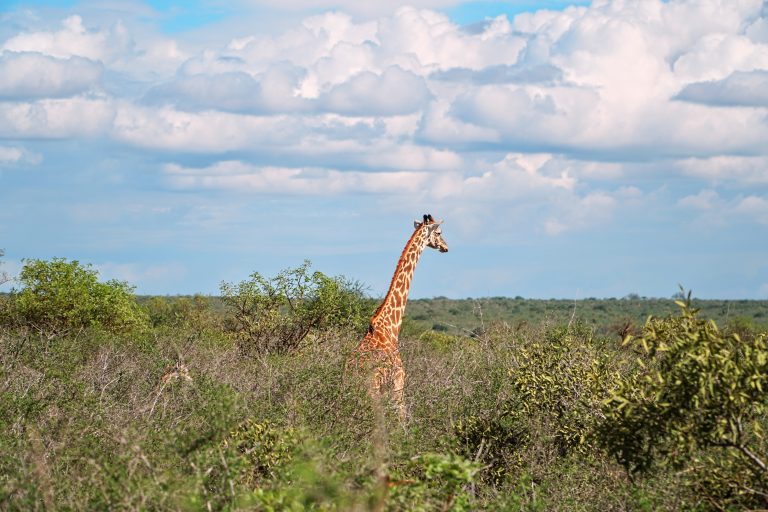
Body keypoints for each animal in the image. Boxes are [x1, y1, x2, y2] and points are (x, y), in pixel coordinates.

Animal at [350, 212, 448, 420]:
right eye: (439, 232)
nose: (446, 247)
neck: (391, 327)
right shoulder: (398, 383)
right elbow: (402, 418)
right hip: (374, 392)